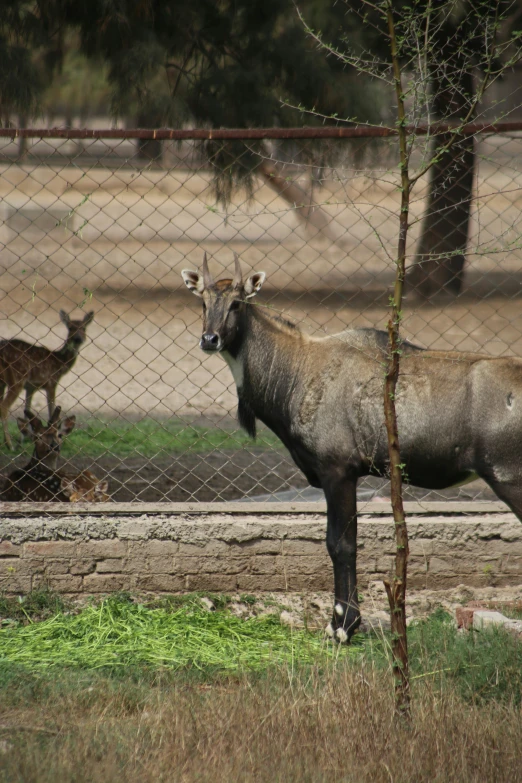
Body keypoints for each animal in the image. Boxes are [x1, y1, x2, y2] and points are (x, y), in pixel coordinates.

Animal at [0, 310, 93, 450]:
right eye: (70, 328)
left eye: (84, 328)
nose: (78, 339)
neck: (59, 363)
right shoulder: (51, 383)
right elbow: (51, 412)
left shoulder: (31, 387)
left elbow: (27, 412)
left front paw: (23, 440)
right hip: (16, 379)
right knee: (4, 407)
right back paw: (9, 445)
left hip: (3, 382)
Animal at [182, 254, 520, 648]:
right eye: (203, 303)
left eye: (237, 303)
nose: (210, 339)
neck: (297, 370)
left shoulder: (338, 471)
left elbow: (340, 544)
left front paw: (342, 625)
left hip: (508, 478)